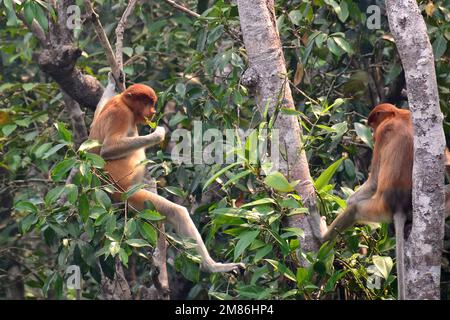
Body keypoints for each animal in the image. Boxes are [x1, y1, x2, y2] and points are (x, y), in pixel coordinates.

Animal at [87, 75, 243, 272]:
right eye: (146, 102)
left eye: (152, 102)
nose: (153, 111)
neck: (124, 103)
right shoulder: (120, 115)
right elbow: (107, 149)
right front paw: (159, 133)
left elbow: (95, 119)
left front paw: (112, 83)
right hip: (128, 194)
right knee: (176, 212)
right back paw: (212, 267)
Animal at [320, 103, 450, 300]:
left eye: (374, 126)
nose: (372, 135)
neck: (399, 115)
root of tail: (399, 206)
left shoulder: (383, 132)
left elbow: (373, 181)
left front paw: (349, 199)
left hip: (378, 208)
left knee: (355, 210)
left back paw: (320, 236)